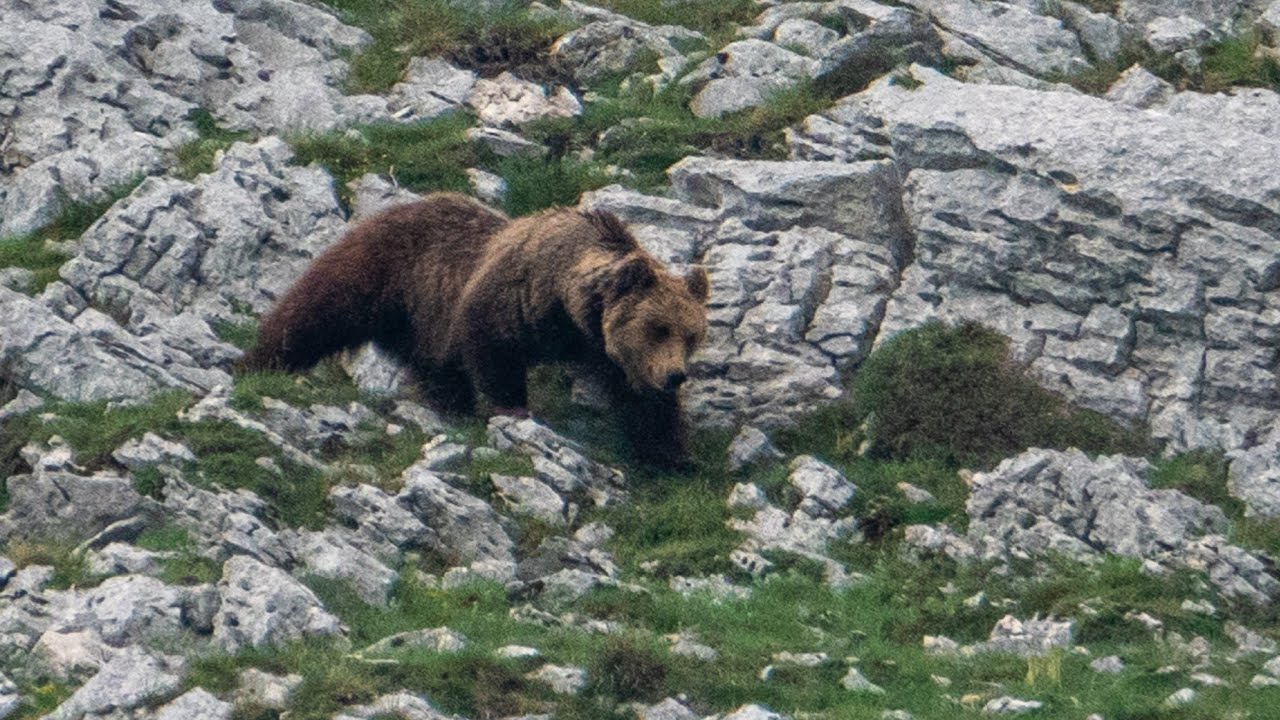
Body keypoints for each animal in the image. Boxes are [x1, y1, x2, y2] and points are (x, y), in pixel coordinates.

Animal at [242, 192, 710, 469]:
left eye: (690, 335)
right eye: (658, 328)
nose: (676, 375)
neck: (568, 306)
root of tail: (388, 208)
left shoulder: (604, 348)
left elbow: (641, 401)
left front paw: (672, 455)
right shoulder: (513, 300)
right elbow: (494, 351)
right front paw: (515, 409)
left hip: (422, 322)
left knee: (437, 371)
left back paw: (452, 407)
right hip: (379, 272)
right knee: (315, 312)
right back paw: (261, 361)